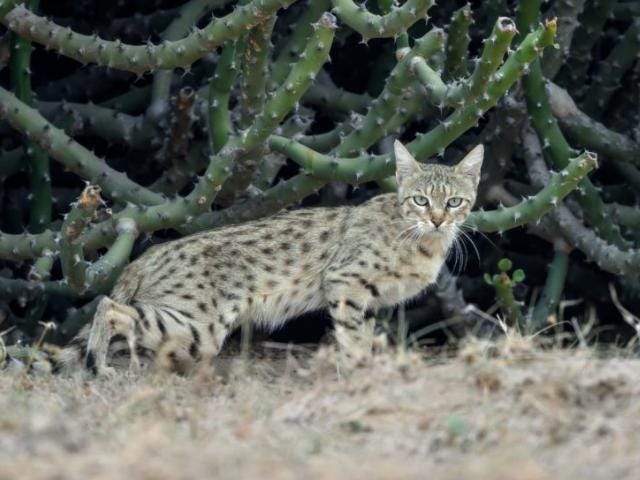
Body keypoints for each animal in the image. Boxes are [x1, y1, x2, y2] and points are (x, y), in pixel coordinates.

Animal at [43, 141, 484, 376]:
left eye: (455, 202)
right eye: (421, 200)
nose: (438, 219)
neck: (421, 241)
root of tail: (149, 253)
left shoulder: (370, 299)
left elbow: (361, 334)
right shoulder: (345, 282)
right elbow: (353, 338)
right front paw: (359, 372)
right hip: (199, 326)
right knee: (107, 304)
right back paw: (98, 363)